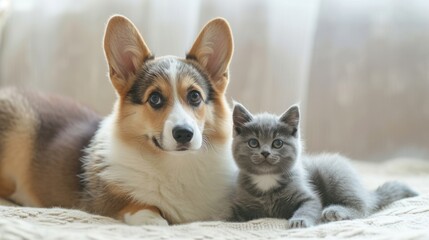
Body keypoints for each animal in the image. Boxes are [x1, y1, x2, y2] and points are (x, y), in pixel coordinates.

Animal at [0, 15, 234, 226]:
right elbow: (136, 204)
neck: (175, 164)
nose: (184, 133)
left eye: (194, 96)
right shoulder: (102, 202)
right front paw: (154, 219)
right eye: (155, 98)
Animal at [229, 102, 416, 228]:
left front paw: (299, 221)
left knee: (362, 207)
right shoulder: (240, 201)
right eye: (253, 143)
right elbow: (230, 214)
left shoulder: (308, 195)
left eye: (277, 143)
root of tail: (366, 191)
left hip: (333, 173)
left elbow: (310, 206)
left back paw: (336, 212)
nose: (265, 153)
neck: (266, 179)